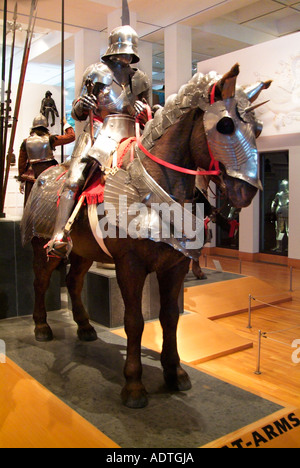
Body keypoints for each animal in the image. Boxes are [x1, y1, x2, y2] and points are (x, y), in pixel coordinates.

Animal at [21, 64, 270, 408]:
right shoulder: (130, 266)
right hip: (42, 244)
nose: (246, 191)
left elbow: (169, 317)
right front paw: (134, 385)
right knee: (41, 280)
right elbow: (134, 321)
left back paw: (84, 327)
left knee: (73, 281)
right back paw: (42, 326)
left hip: (83, 252)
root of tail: (43, 176)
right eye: (225, 124)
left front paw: (175, 372)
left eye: (258, 128)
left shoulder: (174, 266)